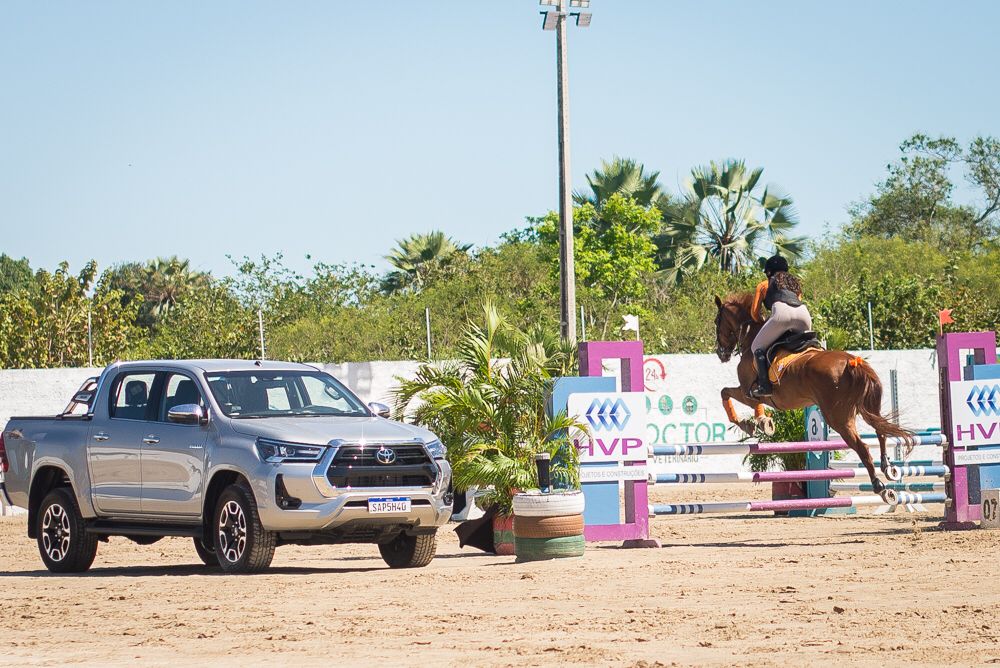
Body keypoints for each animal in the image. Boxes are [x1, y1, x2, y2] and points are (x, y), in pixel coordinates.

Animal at [712, 292, 916, 500]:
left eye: (716, 322)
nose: (721, 353)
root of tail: (853, 362)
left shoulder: (748, 392)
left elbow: (726, 392)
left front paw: (753, 424)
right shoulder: (753, 394)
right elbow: (735, 397)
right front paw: (761, 423)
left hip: (838, 418)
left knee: (863, 447)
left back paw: (880, 487)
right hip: (868, 408)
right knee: (881, 432)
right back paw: (889, 469)